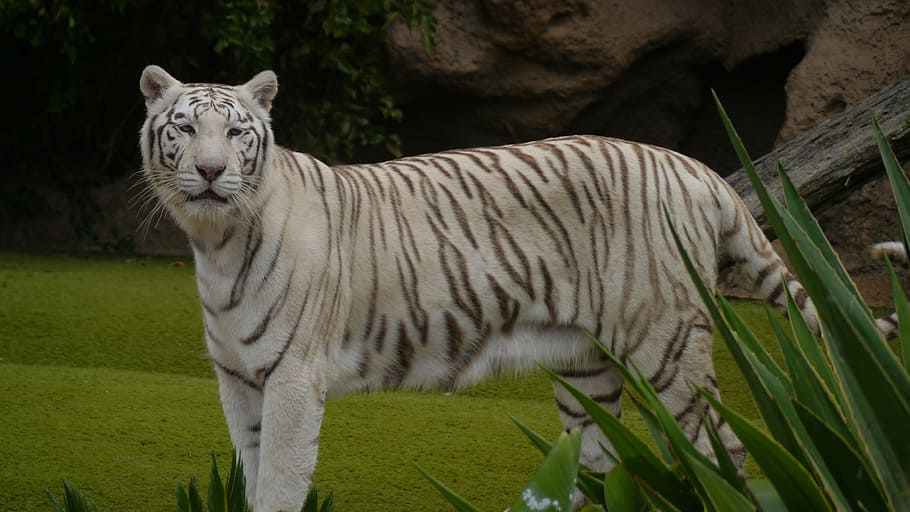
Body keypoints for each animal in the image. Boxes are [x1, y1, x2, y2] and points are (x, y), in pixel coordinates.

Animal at [139, 64, 822, 512]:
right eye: (184, 129)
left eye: (235, 133)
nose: (210, 171)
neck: (217, 243)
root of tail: (693, 166)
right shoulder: (238, 379)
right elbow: (252, 472)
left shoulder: (292, 378)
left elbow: (279, 485)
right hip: (585, 367)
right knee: (598, 464)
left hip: (667, 343)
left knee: (722, 448)